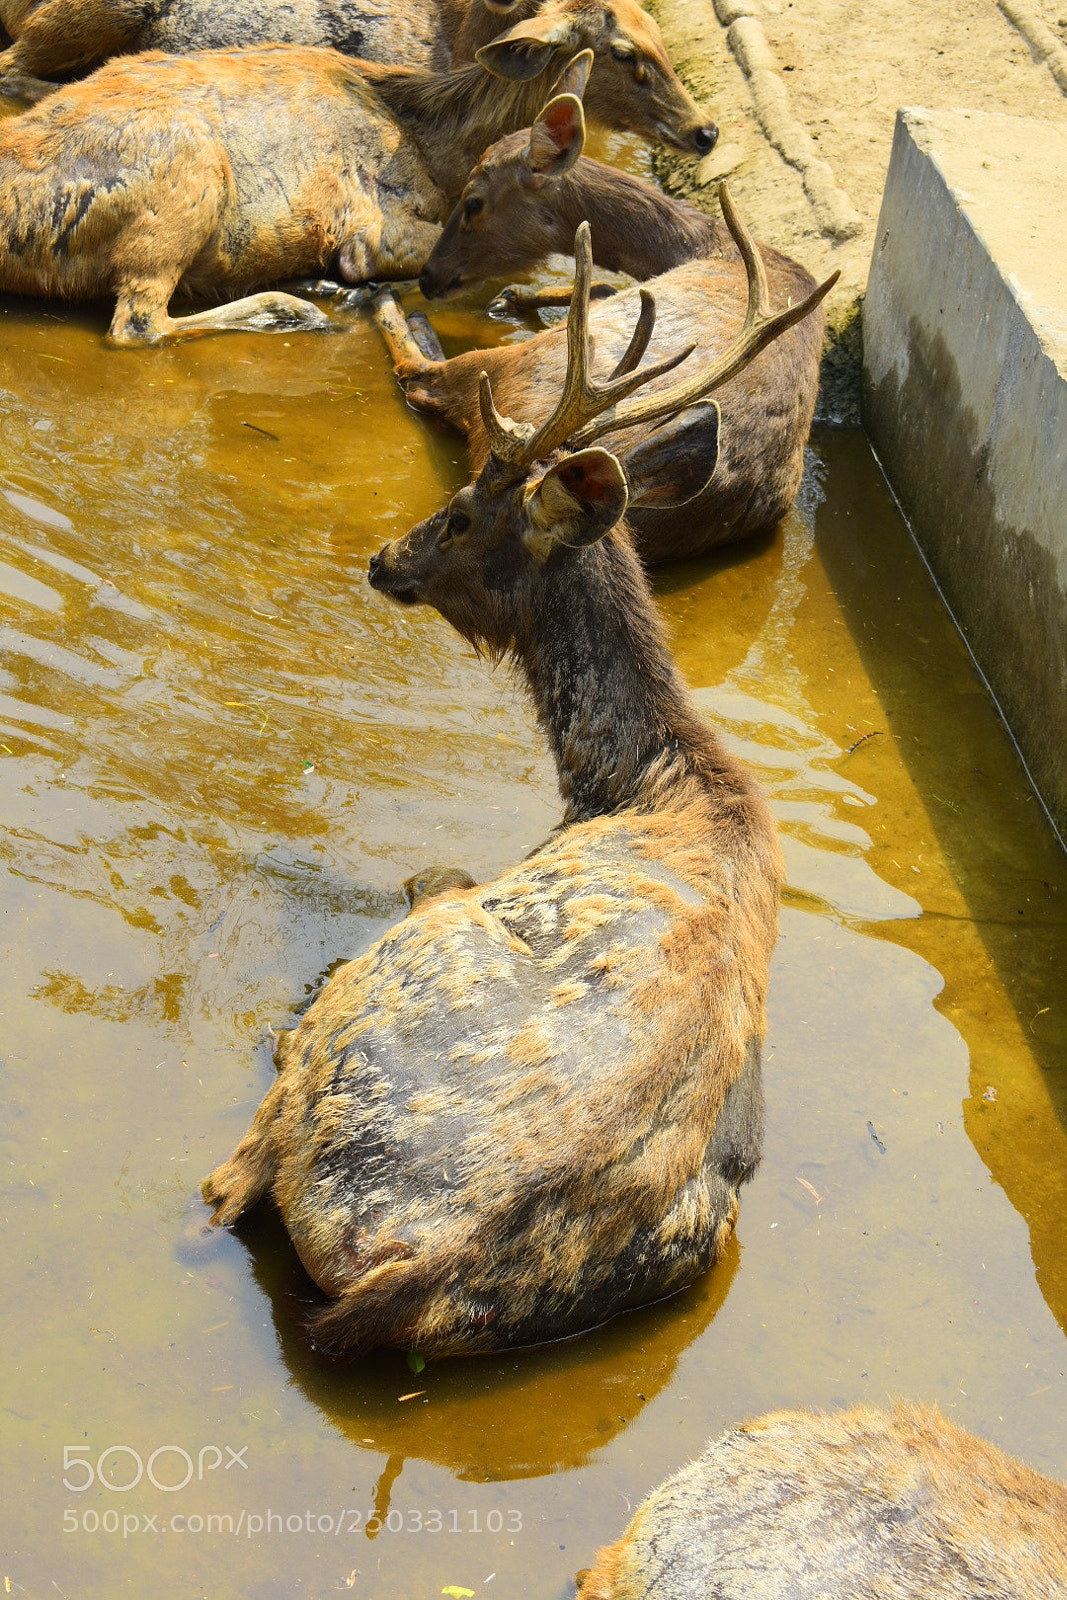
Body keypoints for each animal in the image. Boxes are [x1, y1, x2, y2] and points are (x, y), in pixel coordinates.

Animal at [0, 13, 715, 346]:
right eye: (627, 53)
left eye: (661, 32)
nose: (707, 130)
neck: (434, 141)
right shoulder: (372, 221)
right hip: (182, 181)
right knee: (139, 323)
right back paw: (294, 308)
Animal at [199, 199, 832, 1360]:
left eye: (458, 512)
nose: (383, 557)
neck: (639, 780)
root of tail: (416, 1270)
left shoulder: (460, 884)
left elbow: (429, 869)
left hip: (364, 1015)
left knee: (236, 1167)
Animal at [374, 117, 835, 562]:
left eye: (472, 202)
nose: (429, 276)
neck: (705, 245)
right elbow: (604, 286)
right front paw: (516, 295)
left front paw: (508, 296)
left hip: (514, 372)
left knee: (419, 376)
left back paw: (389, 300)